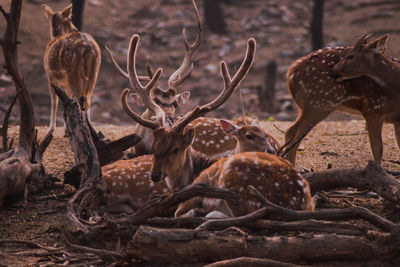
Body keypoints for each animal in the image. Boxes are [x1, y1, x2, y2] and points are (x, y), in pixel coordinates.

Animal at [41, 4, 101, 136]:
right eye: (69, 20)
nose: (75, 28)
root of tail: (89, 49)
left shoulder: (49, 75)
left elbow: (54, 102)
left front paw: (51, 129)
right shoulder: (66, 82)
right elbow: (68, 99)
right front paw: (65, 130)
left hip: (73, 71)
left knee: (80, 99)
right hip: (93, 72)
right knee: (87, 99)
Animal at [286, 34, 396, 166]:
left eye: (351, 56)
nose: (334, 70)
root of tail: (291, 74)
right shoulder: (374, 111)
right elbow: (378, 148)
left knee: (292, 132)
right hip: (318, 104)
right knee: (293, 133)